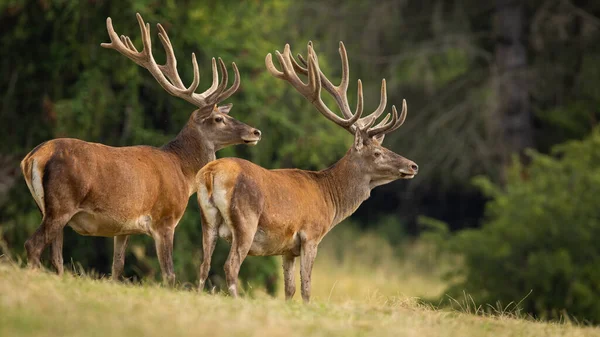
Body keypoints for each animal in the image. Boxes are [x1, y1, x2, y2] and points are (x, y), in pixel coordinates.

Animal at [20, 14, 260, 284]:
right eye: (219, 119)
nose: (255, 132)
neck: (182, 172)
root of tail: (33, 158)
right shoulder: (164, 219)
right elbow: (169, 274)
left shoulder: (123, 227)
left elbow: (117, 268)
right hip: (62, 203)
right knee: (32, 244)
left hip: (47, 208)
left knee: (57, 256)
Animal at [197, 40, 418, 300]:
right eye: (377, 153)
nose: (412, 165)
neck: (329, 199)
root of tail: (211, 173)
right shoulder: (311, 235)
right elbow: (306, 288)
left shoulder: (287, 248)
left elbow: (290, 289)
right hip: (245, 220)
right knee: (230, 266)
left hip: (207, 219)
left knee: (203, 265)